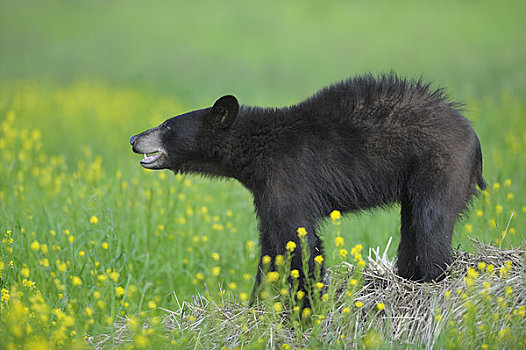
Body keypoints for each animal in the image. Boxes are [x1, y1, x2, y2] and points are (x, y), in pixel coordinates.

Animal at [131, 74, 486, 298]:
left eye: (166, 125)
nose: (134, 138)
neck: (258, 150)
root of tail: (473, 134)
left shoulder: (289, 178)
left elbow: (301, 240)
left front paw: (307, 310)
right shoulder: (266, 190)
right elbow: (271, 246)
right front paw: (258, 304)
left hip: (441, 166)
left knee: (431, 225)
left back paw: (433, 284)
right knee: (411, 227)